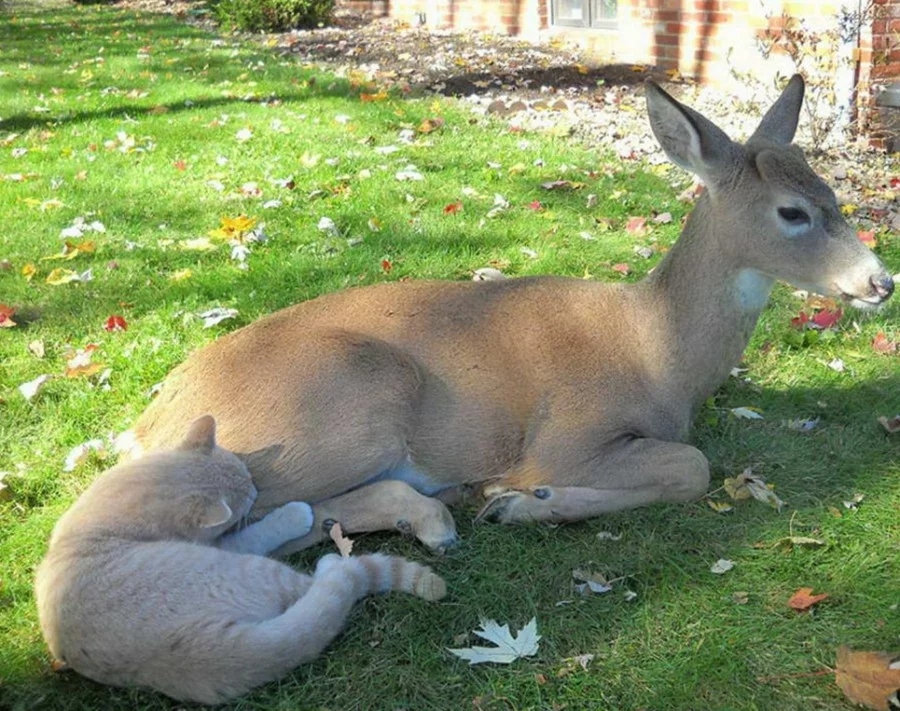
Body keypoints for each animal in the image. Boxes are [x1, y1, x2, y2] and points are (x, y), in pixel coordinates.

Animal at [37, 414, 448, 704]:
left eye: (248, 477)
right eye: (247, 498)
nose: (255, 492)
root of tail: (192, 653)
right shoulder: (229, 545)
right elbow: (260, 532)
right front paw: (295, 513)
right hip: (256, 570)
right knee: (325, 585)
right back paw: (331, 562)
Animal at [126, 78, 892, 556]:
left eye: (833, 194)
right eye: (792, 212)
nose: (880, 281)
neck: (657, 352)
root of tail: (151, 421)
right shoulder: (568, 431)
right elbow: (691, 466)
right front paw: (522, 499)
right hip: (344, 405)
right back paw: (444, 508)